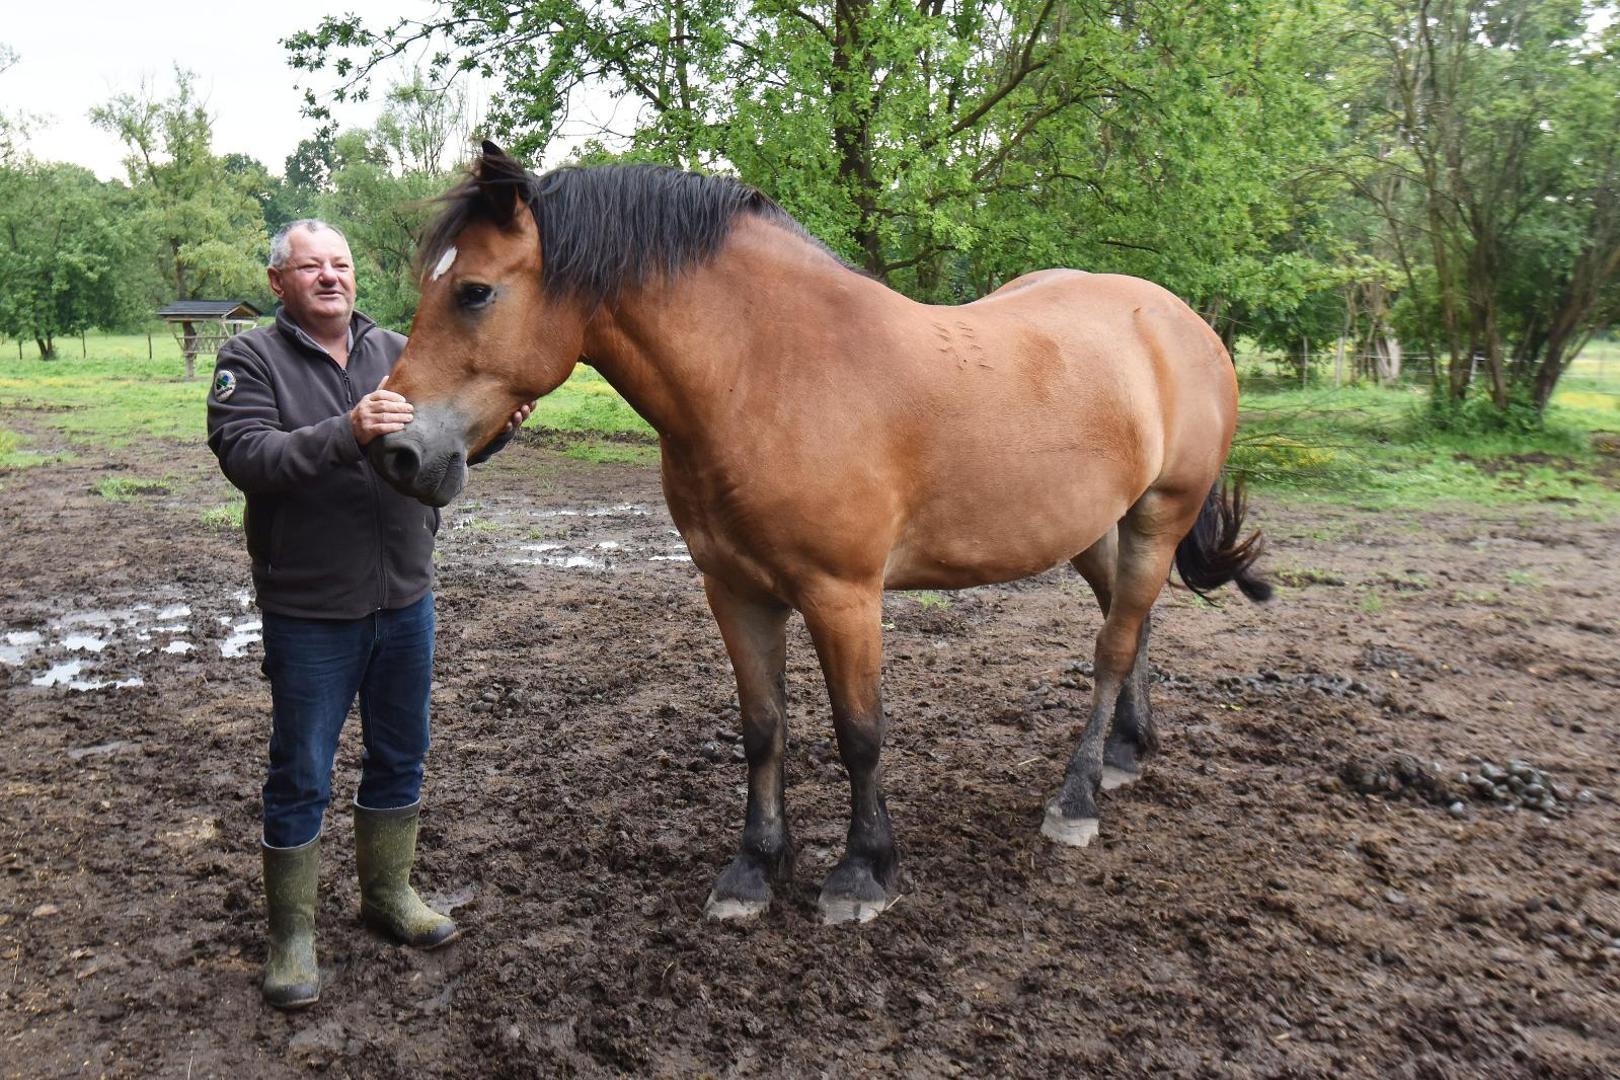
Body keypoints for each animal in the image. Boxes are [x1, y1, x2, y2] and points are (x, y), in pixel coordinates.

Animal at [370, 139, 1263, 926]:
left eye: (474, 291)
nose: (398, 451)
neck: (769, 372)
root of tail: (1181, 321)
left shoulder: (845, 598)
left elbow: (858, 733)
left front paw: (863, 873)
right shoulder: (735, 590)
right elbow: (763, 728)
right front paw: (754, 868)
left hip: (1159, 513)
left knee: (1112, 646)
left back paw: (1076, 796)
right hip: (1090, 526)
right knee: (1131, 620)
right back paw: (1125, 755)